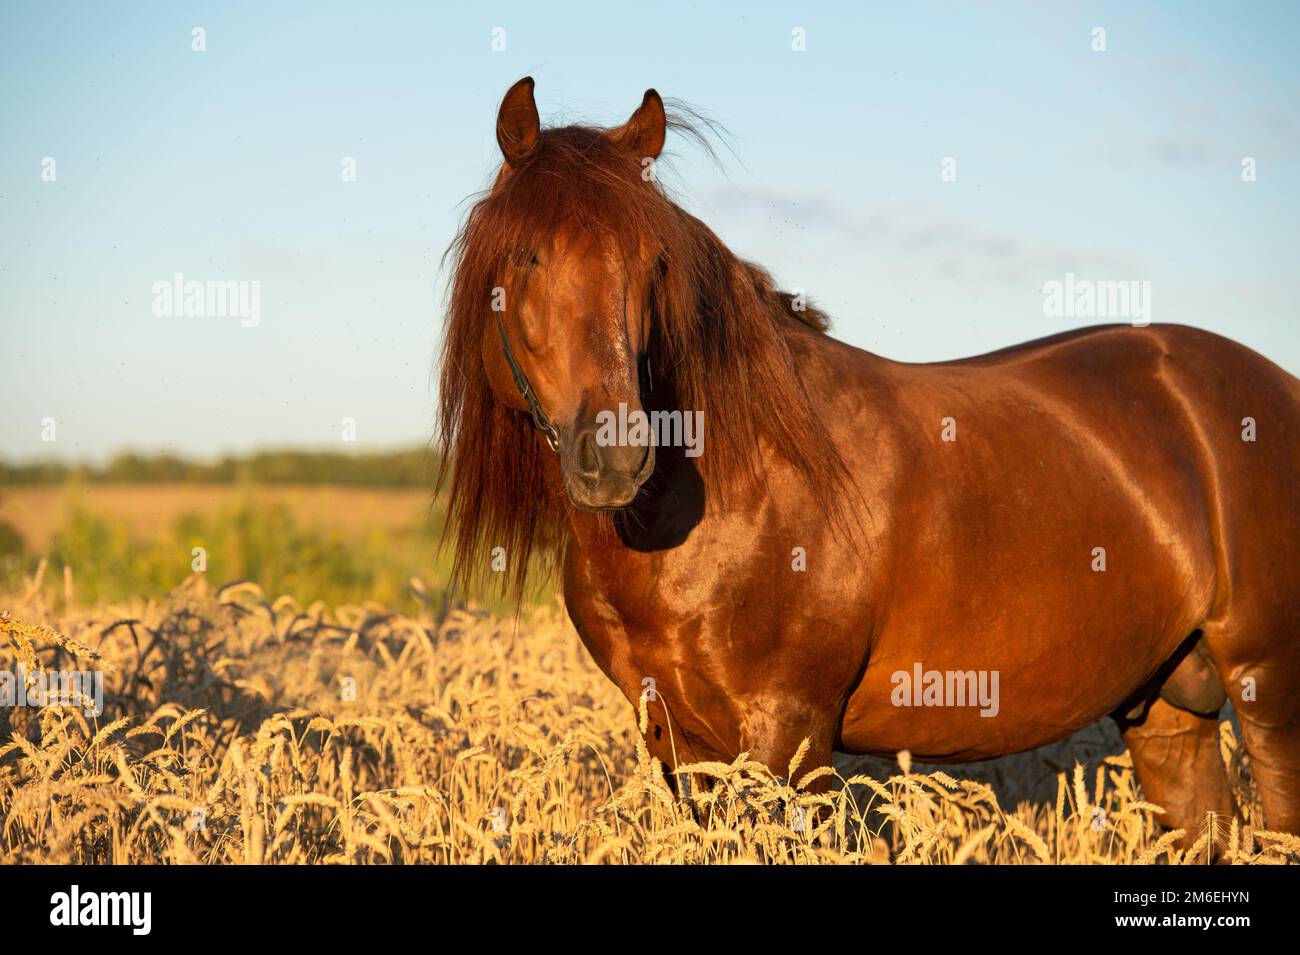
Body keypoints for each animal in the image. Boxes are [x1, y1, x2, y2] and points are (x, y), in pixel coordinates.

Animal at [436, 80, 1300, 841]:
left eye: (654, 263)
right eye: (526, 256)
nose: (615, 457)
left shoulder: (791, 739)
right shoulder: (680, 744)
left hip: (1270, 693)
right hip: (1170, 707)